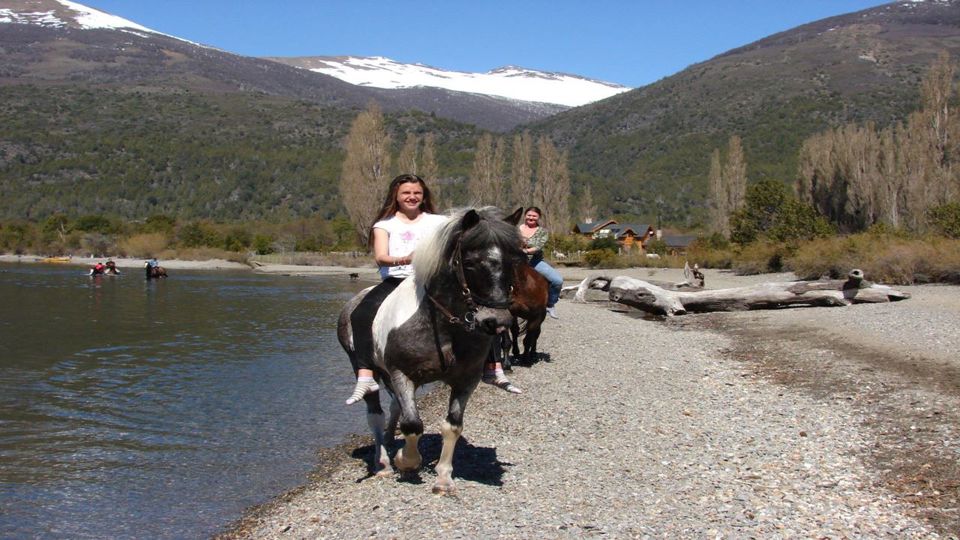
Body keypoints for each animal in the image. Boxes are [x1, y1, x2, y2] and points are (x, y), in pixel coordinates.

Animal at [337, 206, 525, 495]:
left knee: (394, 408)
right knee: (376, 415)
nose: (497, 322)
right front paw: (406, 461)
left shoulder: (466, 380)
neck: (443, 327)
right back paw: (383, 463)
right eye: (470, 263)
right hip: (367, 369)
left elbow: (452, 426)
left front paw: (443, 478)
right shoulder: (402, 374)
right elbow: (413, 424)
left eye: (513, 262)